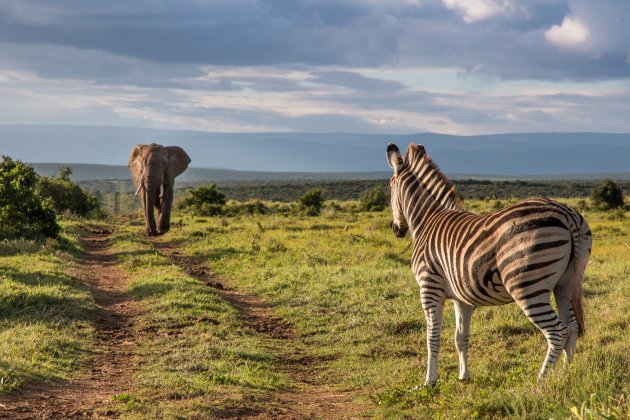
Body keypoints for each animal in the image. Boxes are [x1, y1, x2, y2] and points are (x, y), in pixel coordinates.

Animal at [388, 144, 596, 384]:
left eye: (390, 188)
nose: (396, 229)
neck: (427, 220)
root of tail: (567, 213)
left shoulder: (429, 288)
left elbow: (433, 338)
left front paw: (429, 382)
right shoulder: (462, 297)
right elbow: (461, 337)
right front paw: (464, 377)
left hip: (527, 285)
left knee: (557, 332)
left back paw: (540, 381)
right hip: (565, 283)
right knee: (572, 327)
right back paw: (565, 375)